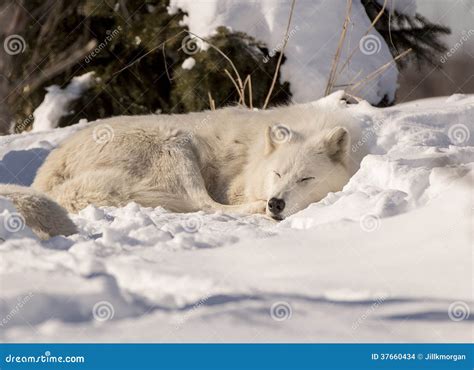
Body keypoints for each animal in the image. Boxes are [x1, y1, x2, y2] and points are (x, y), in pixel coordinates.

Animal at [0, 99, 362, 237]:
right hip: (176, 143)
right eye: (278, 174)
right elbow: (225, 203)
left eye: (305, 178)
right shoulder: (235, 188)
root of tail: (48, 175)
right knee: (205, 205)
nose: (276, 203)